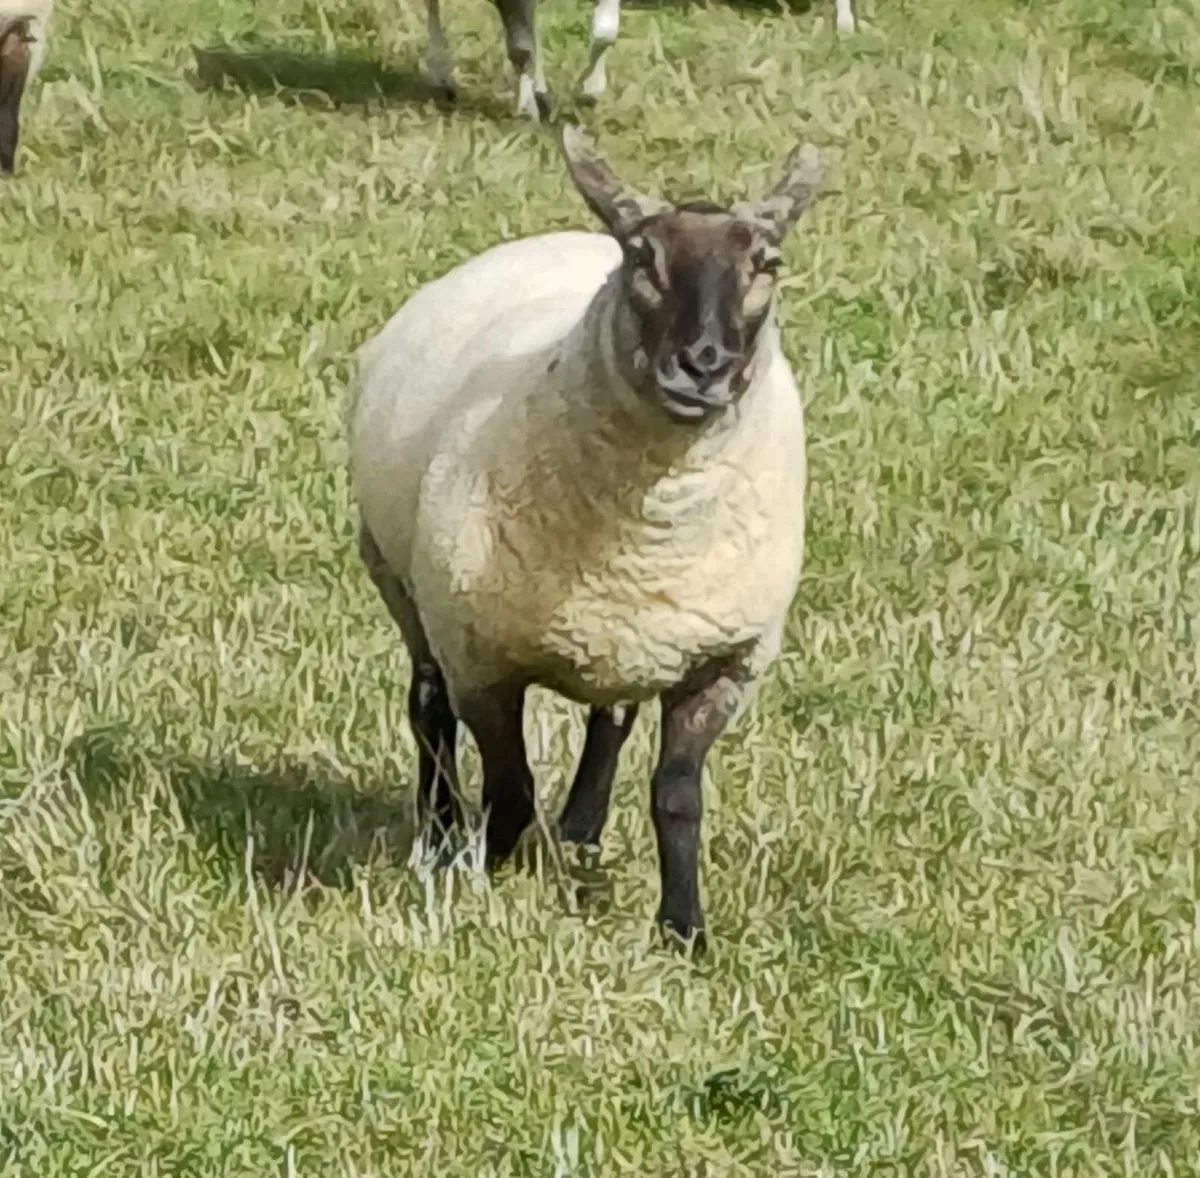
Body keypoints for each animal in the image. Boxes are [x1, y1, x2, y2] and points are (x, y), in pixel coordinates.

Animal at [348, 123, 822, 950]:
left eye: (767, 264)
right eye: (643, 258)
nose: (704, 365)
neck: (655, 527)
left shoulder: (723, 662)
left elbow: (676, 797)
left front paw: (684, 929)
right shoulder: (483, 661)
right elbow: (508, 787)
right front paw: (483, 869)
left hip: (625, 637)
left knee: (612, 720)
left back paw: (581, 831)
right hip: (404, 583)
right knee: (428, 711)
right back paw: (440, 834)